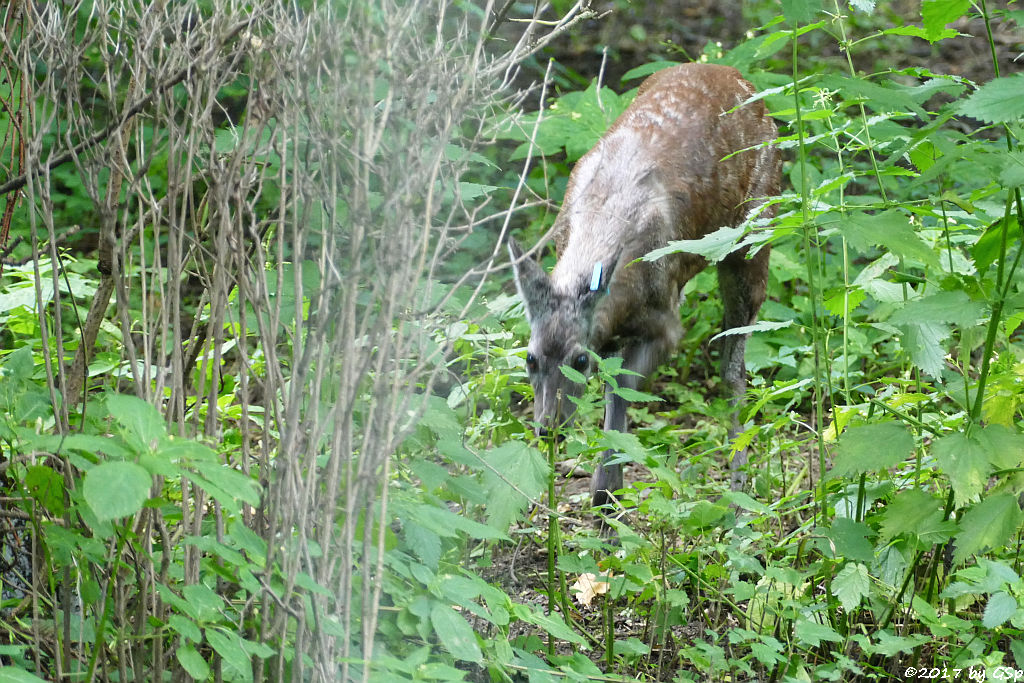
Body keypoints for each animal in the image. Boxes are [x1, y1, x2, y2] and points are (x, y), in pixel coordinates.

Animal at [507, 63, 778, 509]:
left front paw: (606, 493)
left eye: (579, 360)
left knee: (734, 366)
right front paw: (604, 495)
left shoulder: (665, 324)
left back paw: (739, 490)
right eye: (529, 358)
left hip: (754, 237)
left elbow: (623, 390)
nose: (548, 428)